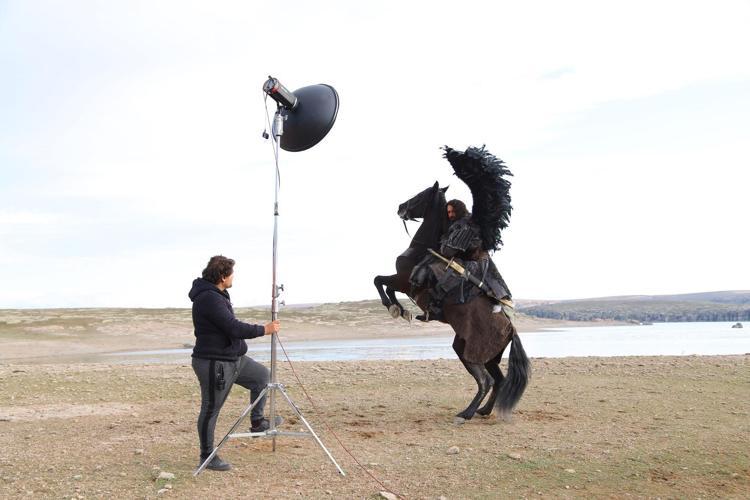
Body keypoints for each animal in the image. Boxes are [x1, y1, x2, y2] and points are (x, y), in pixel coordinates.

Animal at [374, 182, 530, 420]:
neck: (422, 249)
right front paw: (402, 310)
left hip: (473, 354)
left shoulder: (404, 280)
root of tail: (511, 330)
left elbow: (379, 281)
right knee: (499, 380)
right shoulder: (404, 283)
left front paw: (395, 308)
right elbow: (386, 286)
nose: (401, 207)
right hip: (483, 355)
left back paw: (466, 414)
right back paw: (483, 411)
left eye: (421, 195)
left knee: (486, 381)